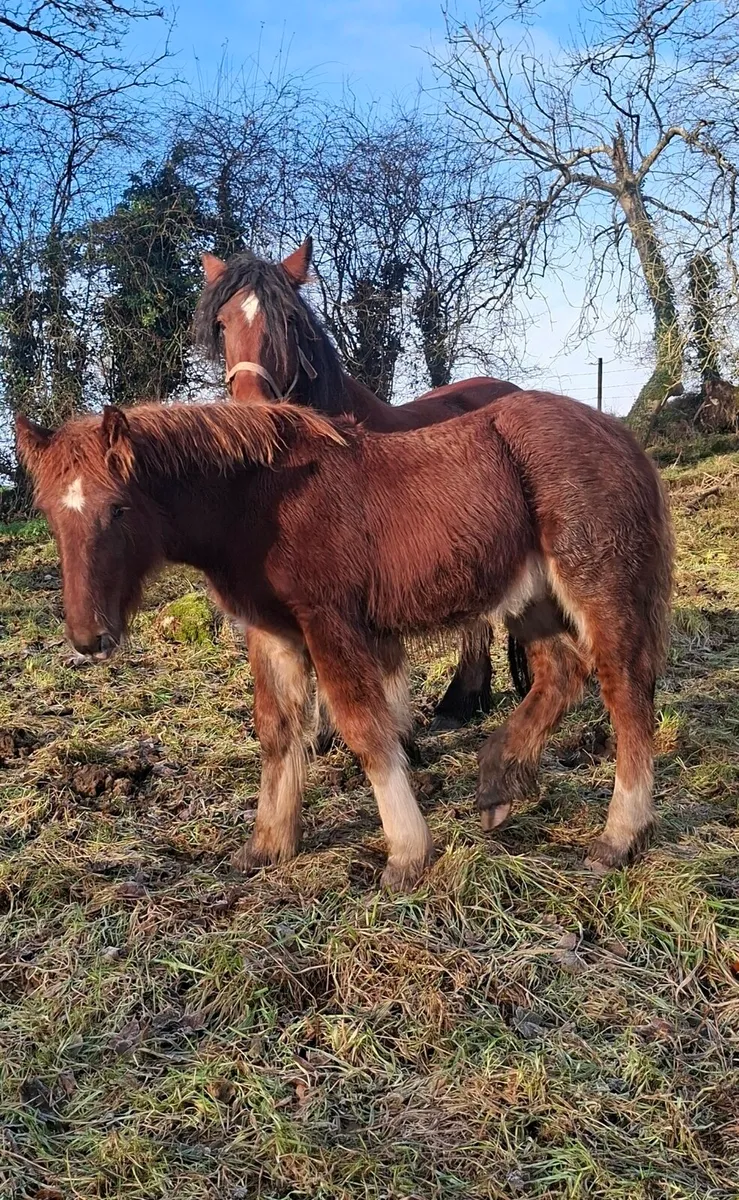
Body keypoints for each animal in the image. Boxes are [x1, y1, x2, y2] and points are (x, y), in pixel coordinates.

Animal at [16, 388, 672, 891]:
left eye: (119, 508)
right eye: (48, 513)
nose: (89, 638)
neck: (260, 502)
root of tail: (618, 433)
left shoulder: (328, 622)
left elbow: (363, 728)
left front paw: (407, 854)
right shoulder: (275, 634)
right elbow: (277, 730)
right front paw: (267, 844)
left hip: (596, 587)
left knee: (625, 691)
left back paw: (619, 835)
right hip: (529, 597)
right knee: (561, 672)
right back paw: (496, 782)